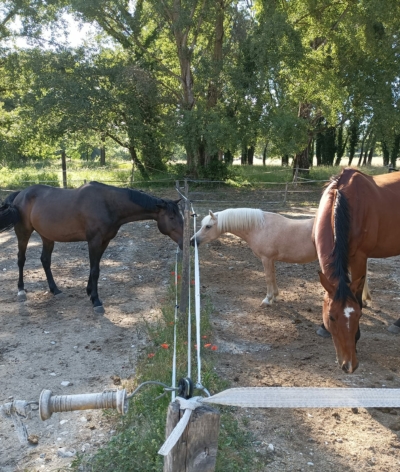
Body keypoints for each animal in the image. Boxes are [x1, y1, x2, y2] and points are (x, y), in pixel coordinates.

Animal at [0, 183, 184, 316]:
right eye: (171, 217)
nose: (185, 241)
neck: (108, 204)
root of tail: (20, 194)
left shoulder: (104, 241)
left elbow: (94, 268)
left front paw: (89, 292)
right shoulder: (94, 241)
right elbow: (95, 270)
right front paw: (96, 301)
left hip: (47, 236)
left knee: (45, 260)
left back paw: (55, 290)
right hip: (23, 233)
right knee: (21, 259)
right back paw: (21, 291)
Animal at [191, 207, 372, 306]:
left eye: (208, 226)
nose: (192, 241)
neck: (259, 227)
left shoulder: (266, 259)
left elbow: (268, 279)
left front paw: (268, 299)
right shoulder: (271, 260)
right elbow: (273, 278)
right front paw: (275, 297)